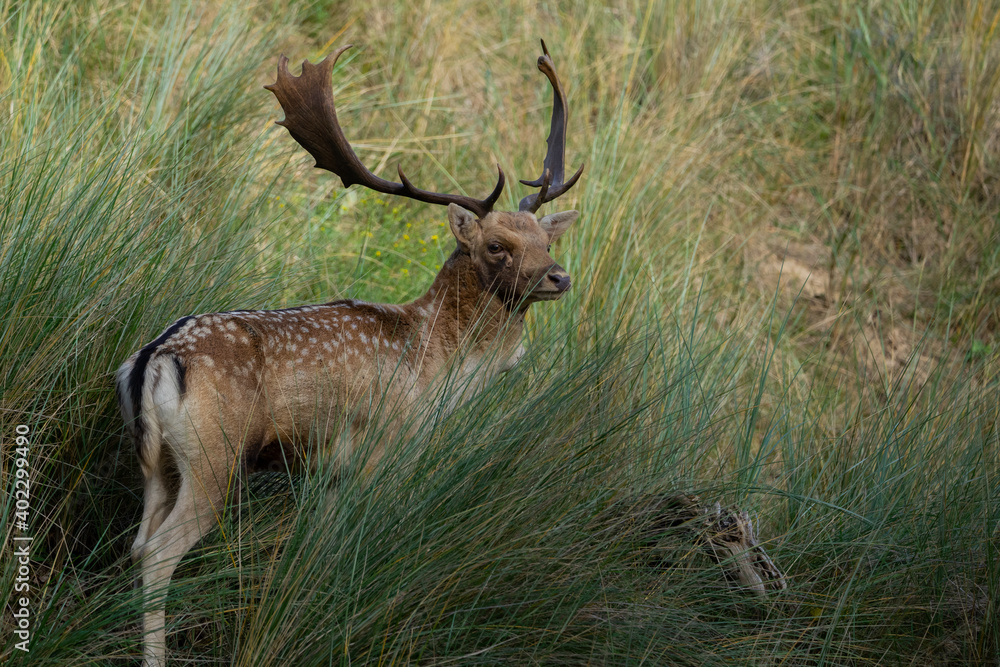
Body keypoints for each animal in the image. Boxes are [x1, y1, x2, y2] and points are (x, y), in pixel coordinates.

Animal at [116, 41, 584, 667]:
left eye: (545, 240)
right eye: (496, 245)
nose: (558, 277)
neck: (440, 365)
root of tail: (155, 358)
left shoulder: (333, 473)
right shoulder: (385, 449)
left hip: (157, 463)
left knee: (138, 541)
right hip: (215, 457)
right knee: (159, 553)